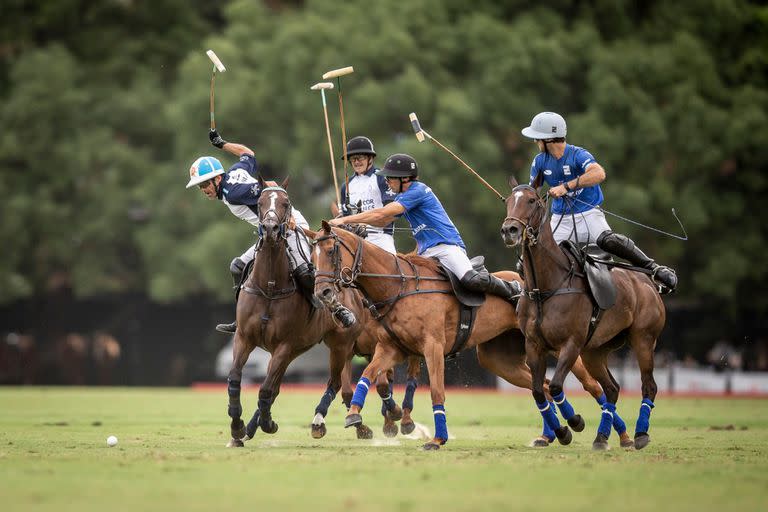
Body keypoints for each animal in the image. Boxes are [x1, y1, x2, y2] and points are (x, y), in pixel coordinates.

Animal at [308, 222, 620, 450]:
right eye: (312, 257)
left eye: (332, 251)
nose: (322, 292)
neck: (399, 287)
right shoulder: (391, 348)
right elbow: (366, 376)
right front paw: (354, 415)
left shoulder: (432, 347)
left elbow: (436, 390)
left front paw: (437, 439)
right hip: (500, 360)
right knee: (541, 385)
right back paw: (557, 432)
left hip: (558, 344)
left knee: (590, 384)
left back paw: (602, 430)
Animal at [500, 182, 664, 450]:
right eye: (508, 201)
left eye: (532, 200)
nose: (509, 230)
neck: (545, 287)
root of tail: (647, 283)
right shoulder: (534, 344)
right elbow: (538, 391)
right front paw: (561, 431)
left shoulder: (571, 343)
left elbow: (556, 386)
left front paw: (575, 422)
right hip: (594, 351)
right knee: (612, 388)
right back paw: (601, 437)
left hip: (643, 339)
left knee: (649, 385)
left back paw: (640, 434)